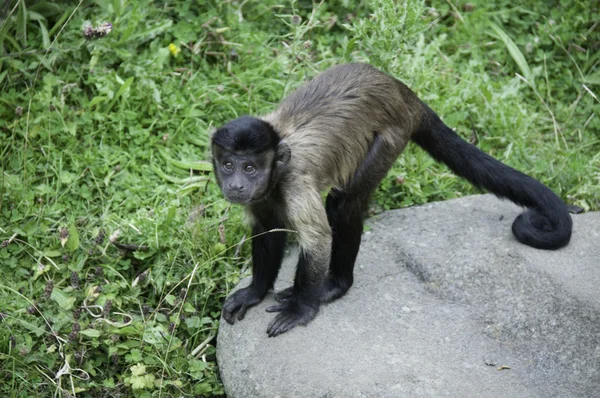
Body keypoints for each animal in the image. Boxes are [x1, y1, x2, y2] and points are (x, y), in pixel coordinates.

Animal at [211, 63, 572, 338]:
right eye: (228, 165)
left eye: (250, 167)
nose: (237, 184)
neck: (277, 170)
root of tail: (399, 89)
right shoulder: (261, 196)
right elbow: (266, 230)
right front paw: (255, 293)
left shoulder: (295, 183)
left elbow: (319, 239)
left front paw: (302, 308)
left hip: (391, 137)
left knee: (344, 205)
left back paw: (336, 285)